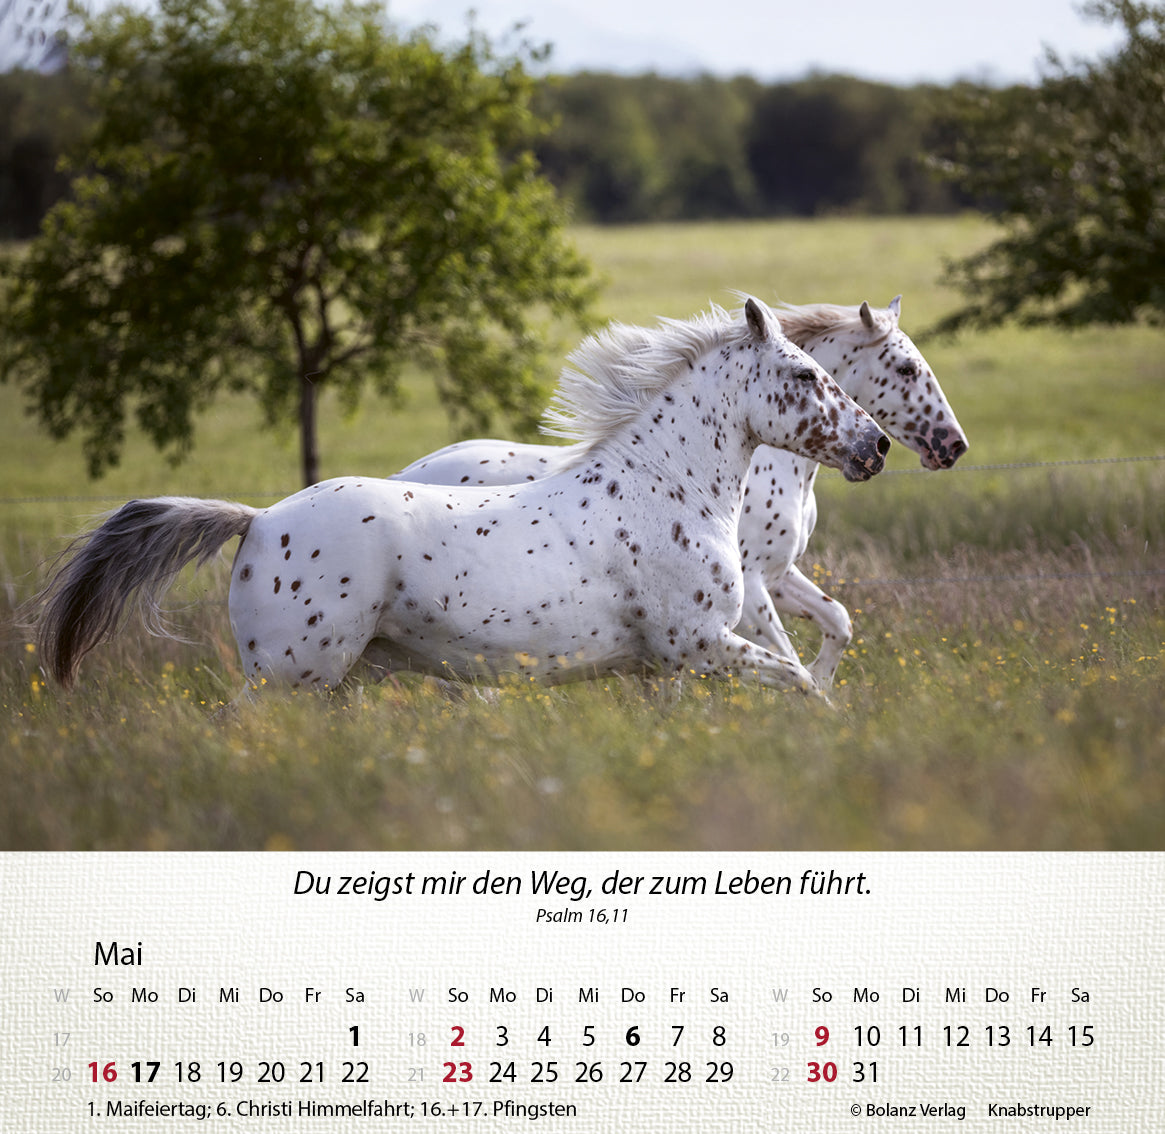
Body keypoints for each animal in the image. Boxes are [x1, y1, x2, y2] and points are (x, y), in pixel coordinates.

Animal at [35, 298, 889, 695]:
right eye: (804, 375)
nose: (875, 444)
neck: (664, 490)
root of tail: (258, 520)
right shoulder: (699, 643)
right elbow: (798, 681)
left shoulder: (665, 665)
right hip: (289, 676)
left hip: (329, 681)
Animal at [393, 296, 968, 689]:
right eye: (906, 368)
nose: (952, 445)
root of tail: (404, 475)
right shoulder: (754, 585)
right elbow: (784, 652)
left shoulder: (779, 574)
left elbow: (837, 622)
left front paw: (825, 685)